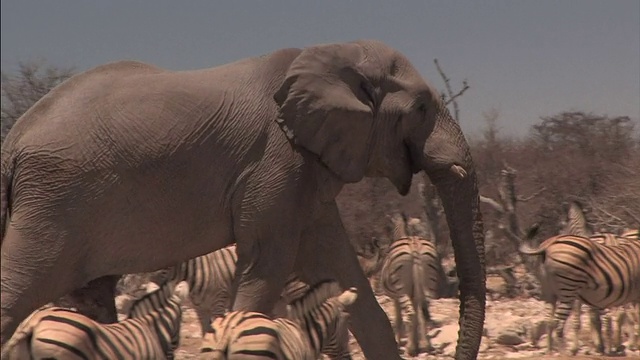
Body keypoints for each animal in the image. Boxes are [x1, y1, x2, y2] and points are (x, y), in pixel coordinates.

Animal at [378, 212, 448, 356]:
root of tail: (414, 245)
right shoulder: (415, 293)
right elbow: (417, 315)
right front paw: (417, 343)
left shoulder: (394, 297)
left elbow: (399, 319)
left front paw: (399, 342)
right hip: (428, 285)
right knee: (423, 311)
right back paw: (425, 345)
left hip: (401, 289)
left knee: (411, 313)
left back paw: (410, 349)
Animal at [520, 224, 640, 356]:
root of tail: (547, 245)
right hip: (568, 288)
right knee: (559, 323)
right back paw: (565, 353)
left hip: (550, 291)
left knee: (549, 321)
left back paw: (550, 351)